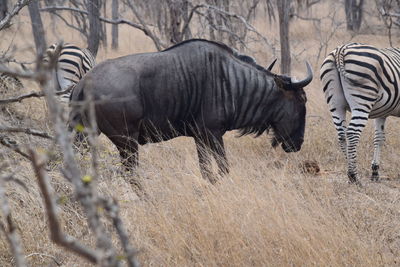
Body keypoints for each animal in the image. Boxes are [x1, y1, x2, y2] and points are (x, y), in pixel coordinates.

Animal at [320, 43, 400, 185]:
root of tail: (341, 49)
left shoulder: (382, 113)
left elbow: (379, 138)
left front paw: (375, 172)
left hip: (335, 104)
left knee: (342, 135)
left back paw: (350, 170)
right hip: (362, 100)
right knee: (352, 133)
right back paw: (354, 176)